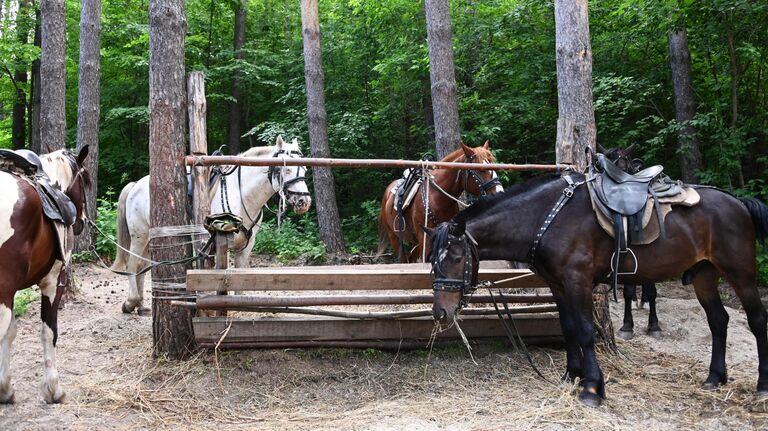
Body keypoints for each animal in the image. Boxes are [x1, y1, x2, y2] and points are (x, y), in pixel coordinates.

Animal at [0, 148, 91, 404]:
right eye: (86, 181)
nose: (81, 222)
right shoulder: (53, 282)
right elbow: (49, 332)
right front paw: (53, 390)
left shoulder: (12, 292)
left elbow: (10, 333)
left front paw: (5, 389)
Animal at [112, 137, 310, 316]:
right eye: (287, 169)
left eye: (305, 169)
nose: (304, 201)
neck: (242, 194)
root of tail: (135, 185)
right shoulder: (219, 242)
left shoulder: (247, 245)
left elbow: (240, 274)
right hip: (139, 236)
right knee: (132, 265)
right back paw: (131, 302)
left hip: (149, 240)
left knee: (141, 266)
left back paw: (141, 306)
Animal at [426, 174, 768, 406]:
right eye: (431, 260)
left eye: (455, 257)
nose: (440, 312)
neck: (546, 218)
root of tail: (738, 203)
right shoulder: (558, 285)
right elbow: (569, 330)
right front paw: (571, 376)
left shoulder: (578, 281)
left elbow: (586, 331)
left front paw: (592, 387)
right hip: (704, 275)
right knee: (718, 321)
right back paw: (714, 377)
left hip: (740, 272)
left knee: (757, 321)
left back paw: (762, 384)